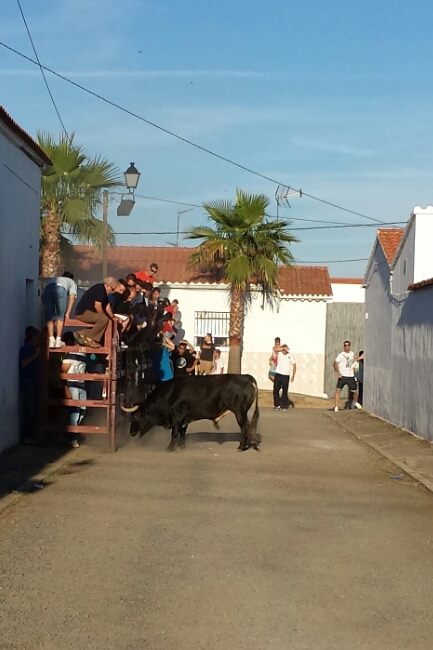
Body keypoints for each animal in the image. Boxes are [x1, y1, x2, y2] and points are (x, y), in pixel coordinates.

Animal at [120, 372, 258, 448]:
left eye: (135, 416)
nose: (131, 433)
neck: (169, 394)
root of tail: (245, 377)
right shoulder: (184, 419)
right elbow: (182, 432)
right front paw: (181, 446)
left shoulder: (177, 417)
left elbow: (175, 433)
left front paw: (170, 448)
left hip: (240, 412)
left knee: (245, 427)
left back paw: (241, 447)